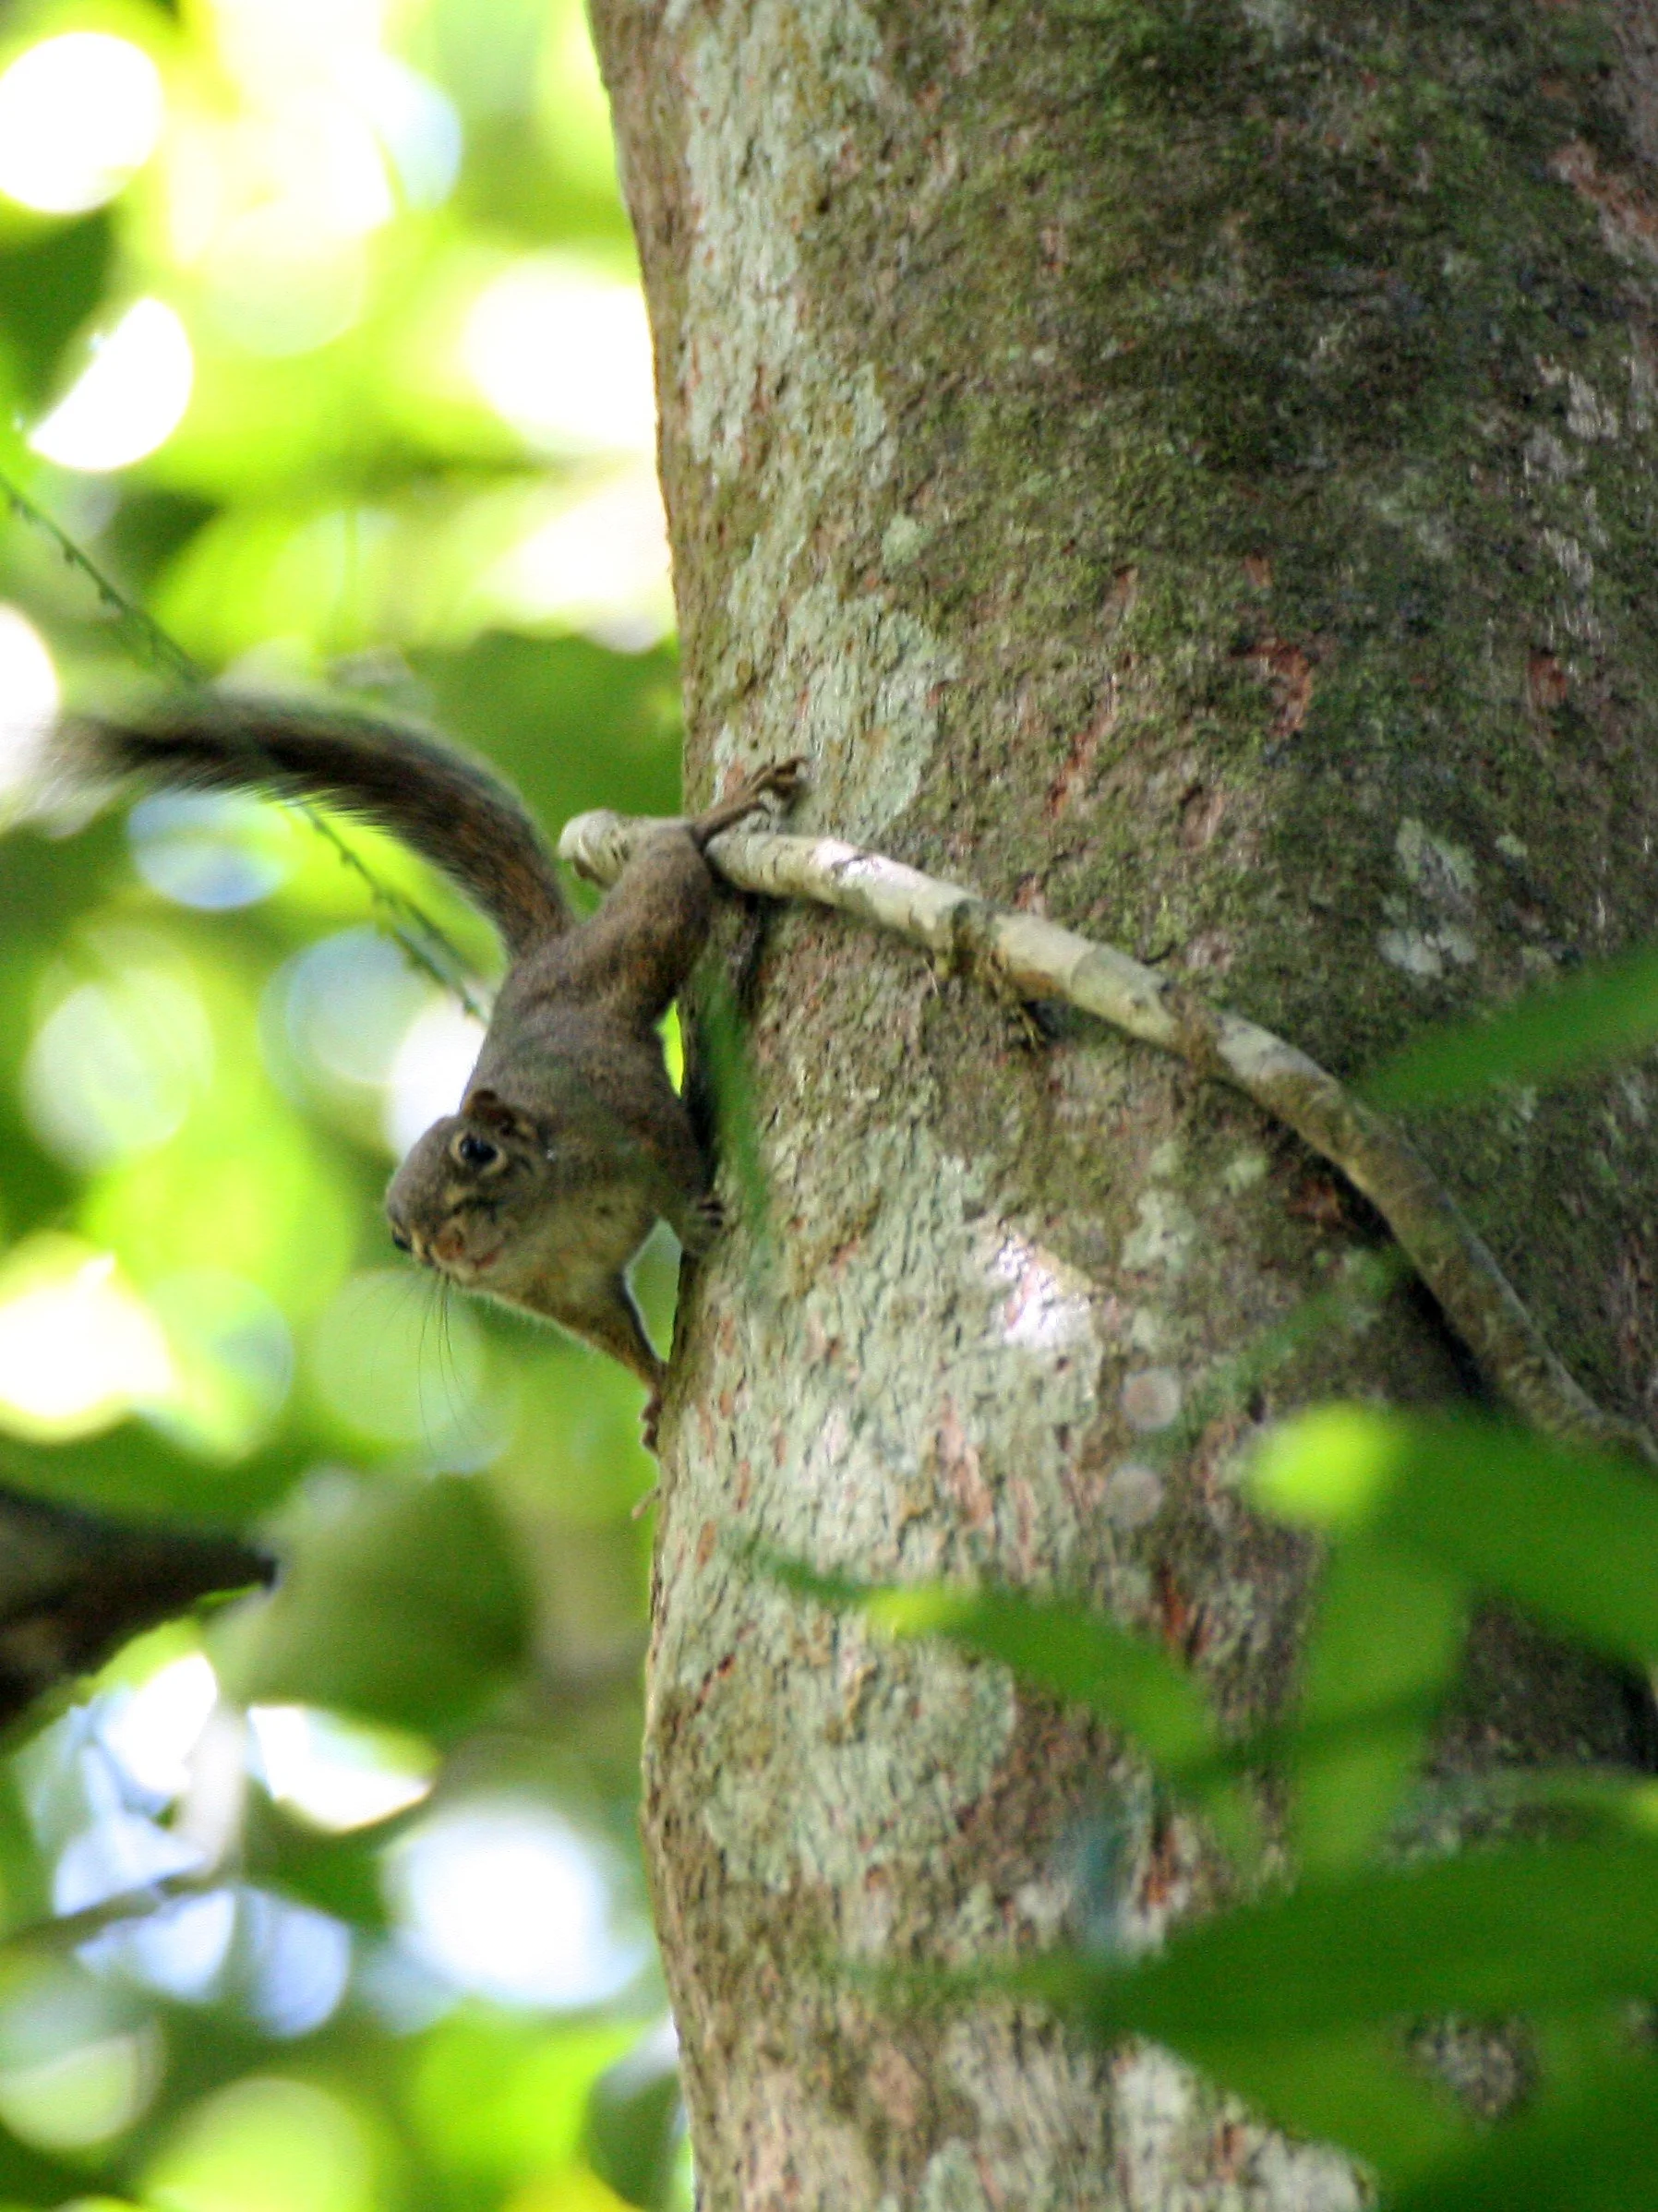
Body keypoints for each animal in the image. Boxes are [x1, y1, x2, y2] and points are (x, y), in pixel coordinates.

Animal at [53, 696, 803, 1448]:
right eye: (400, 1240)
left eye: (476, 1151)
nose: (447, 1247)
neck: (547, 1225)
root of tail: (538, 959)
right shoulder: (563, 1291)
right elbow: (610, 1332)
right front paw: (656, 1388)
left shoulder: (621, 1116)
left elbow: (673, 1158)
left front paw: (694, 1220)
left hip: (633, 942)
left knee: (664, 876)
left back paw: (712, 818)